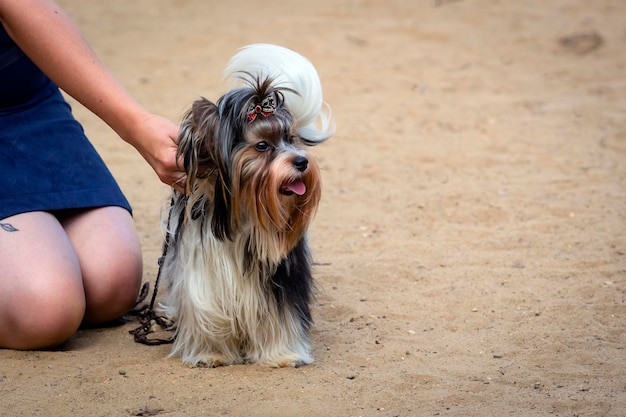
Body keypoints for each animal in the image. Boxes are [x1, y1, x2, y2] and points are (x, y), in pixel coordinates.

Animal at [160, 43, 332, 368]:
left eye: (290, 138)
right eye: (262, 146)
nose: (301, 162)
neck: (246, 215)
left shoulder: (280, 277)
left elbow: (281, 316)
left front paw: (283, 354)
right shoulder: (205, 277)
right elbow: (208, 311)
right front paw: (211, 353)